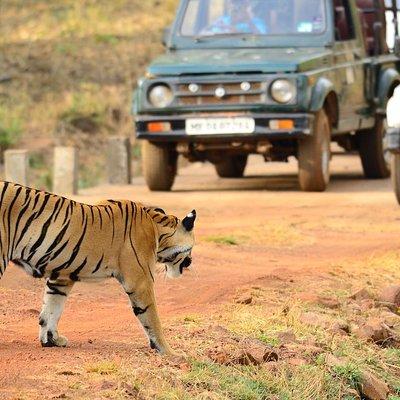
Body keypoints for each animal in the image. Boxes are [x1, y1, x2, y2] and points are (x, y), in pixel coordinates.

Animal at [0, 181, 195, 356]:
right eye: (192, 247)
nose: (190, 262)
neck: (156, 227)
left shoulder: (61, 277)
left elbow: (51, 309)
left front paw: (51, 340)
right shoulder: (141, 282)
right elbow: (153, 318)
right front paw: (170, 352)